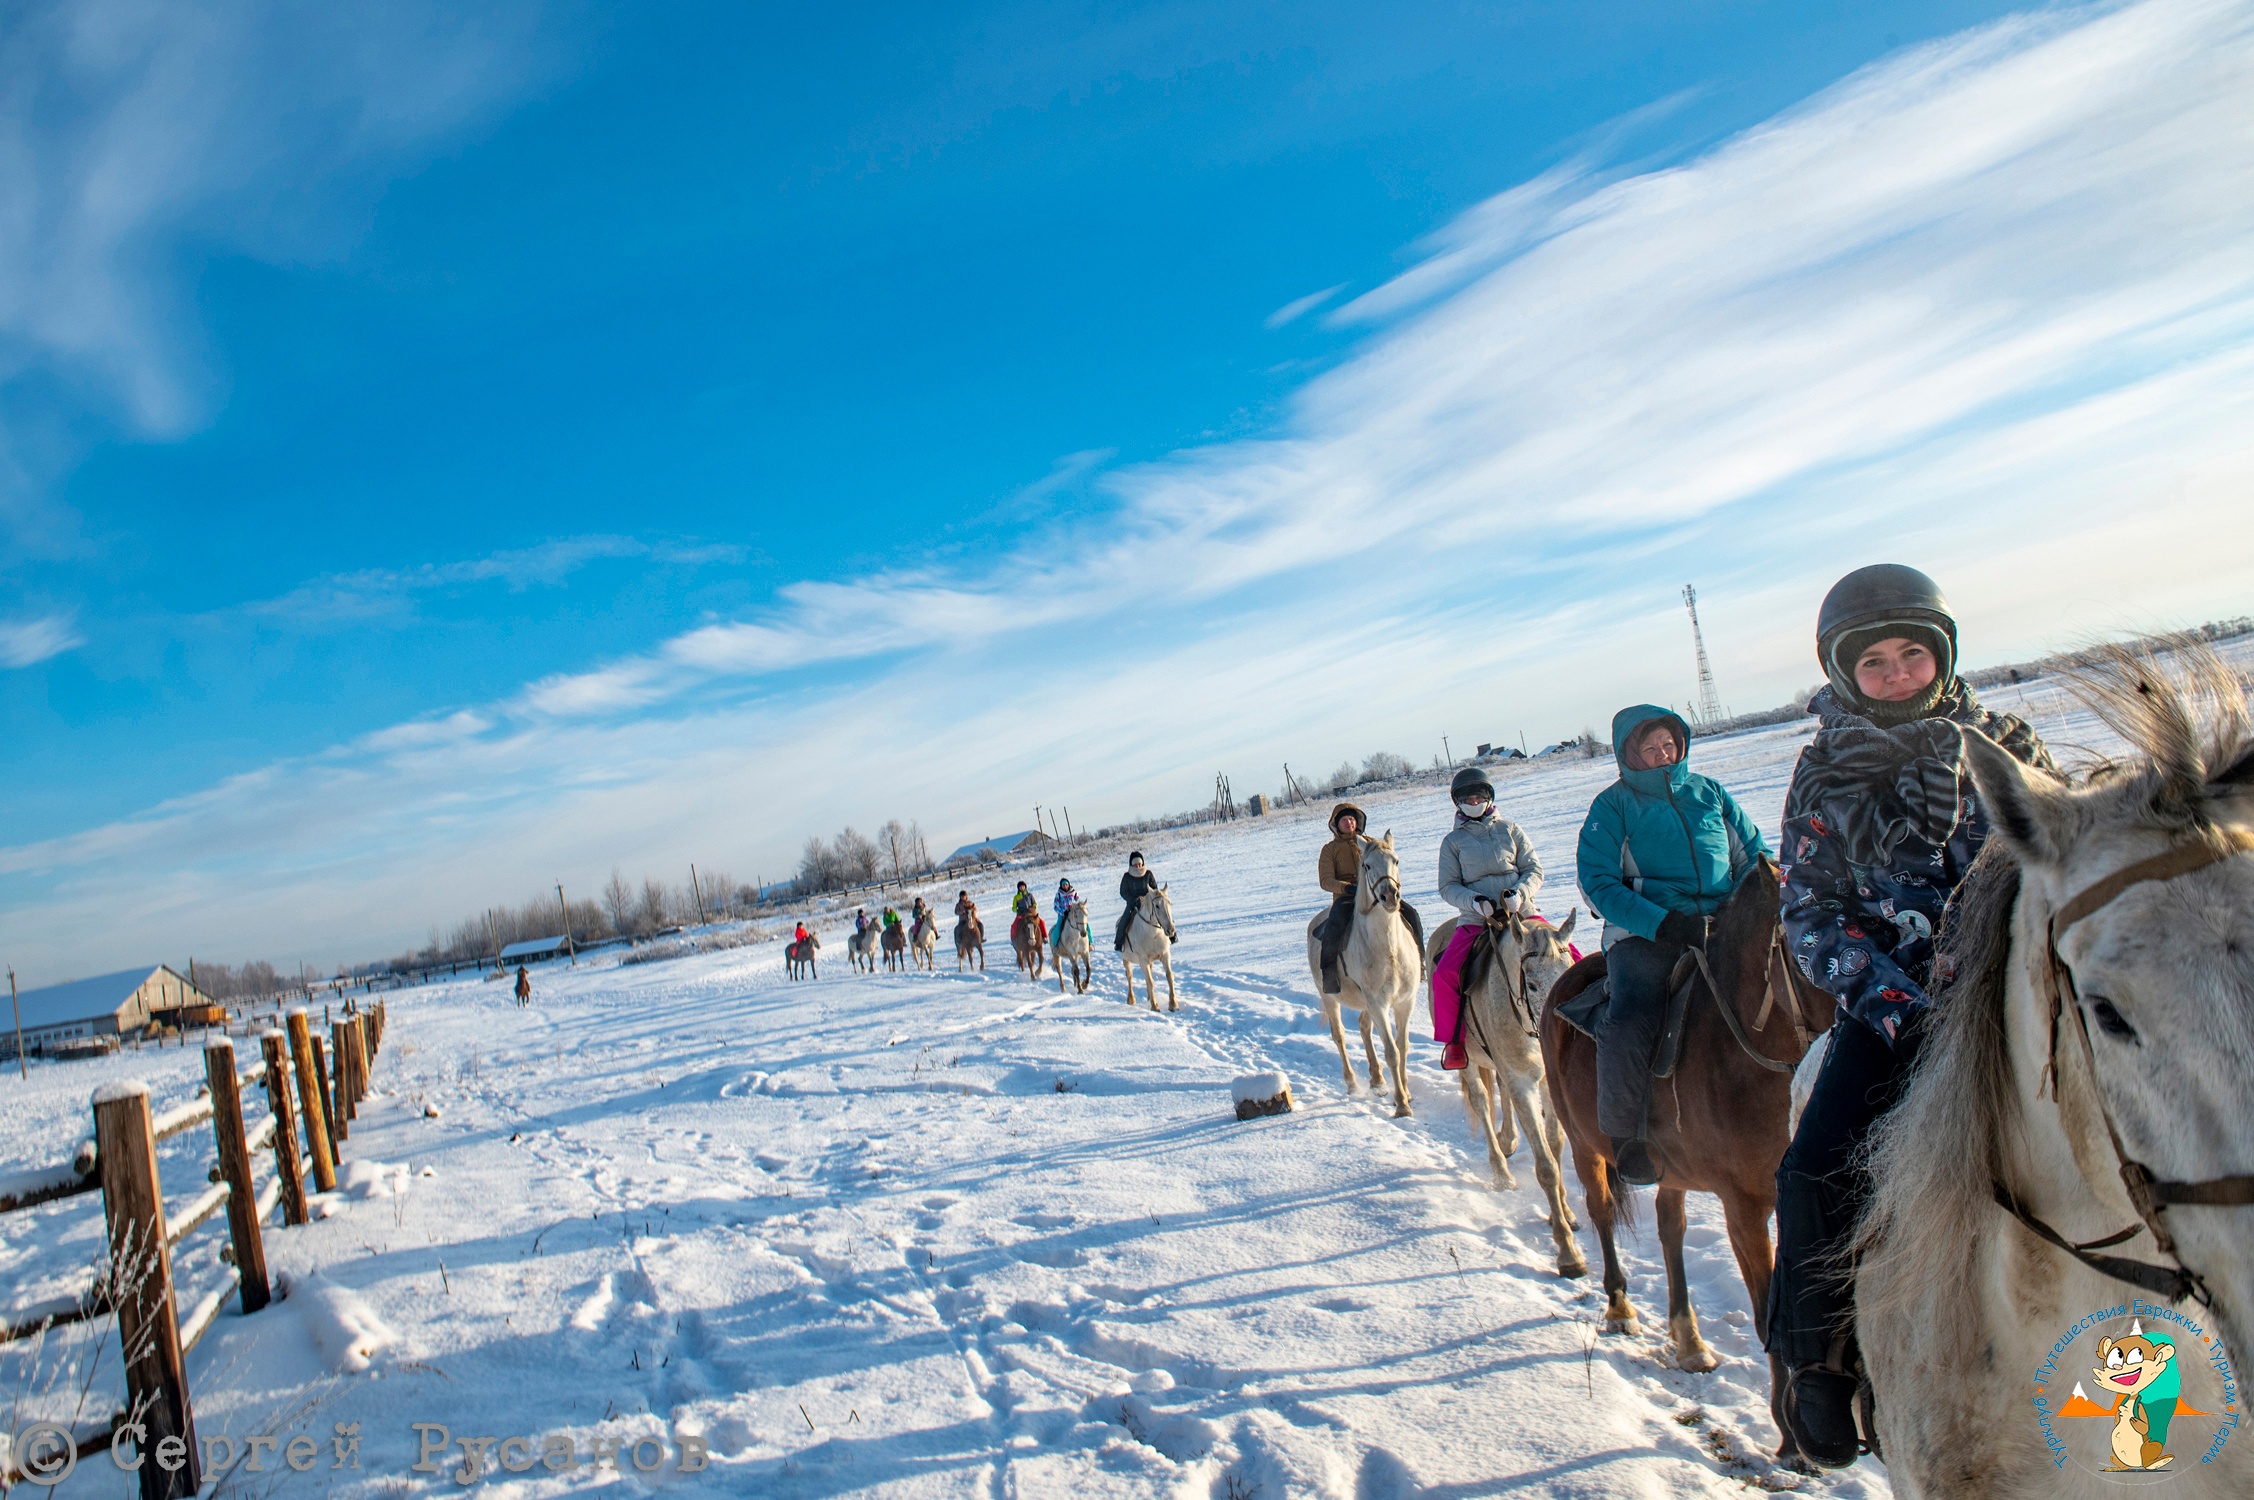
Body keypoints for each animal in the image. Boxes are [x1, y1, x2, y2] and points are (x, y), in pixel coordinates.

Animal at [1298, 830, 1415, 1109]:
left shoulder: (1405, 1001)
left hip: (1366, 1004)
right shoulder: (1378, 1003)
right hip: (1330, 998)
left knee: (1363, 1028)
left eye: (1396, 860)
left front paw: (1405, 1092)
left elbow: (1402, 1046)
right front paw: (1401, 1104)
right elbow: (1392, 1051)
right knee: (1339, 1035)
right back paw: (1352, 1083)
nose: (1390, 897)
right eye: (1367, 865)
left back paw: (1378, 1081)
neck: (1388, 949)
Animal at [1424, 906, 1586, 1272]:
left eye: (1569, 973)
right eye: (1533, 984)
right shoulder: (1523, 1084)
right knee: (1483, 1102)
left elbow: (1555, 1146)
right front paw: (1567, 1252)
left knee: (1499, 1091)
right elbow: (1546, 1167)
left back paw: (1508, 1140)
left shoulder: (1546, 1082)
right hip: (1468, 1061)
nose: (1559, 1030)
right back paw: (1501, 1172)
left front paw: (1565, 1213)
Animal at [1541, 852, 1839, 1425]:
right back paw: (1619, 1305)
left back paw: (1691, 1342)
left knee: (1669, 1225)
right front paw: (1790, 1432)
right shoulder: (1744, 1204)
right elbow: (1767, 1310)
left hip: (1671, 1169)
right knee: (1602, 1210)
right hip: (1585, 1144)